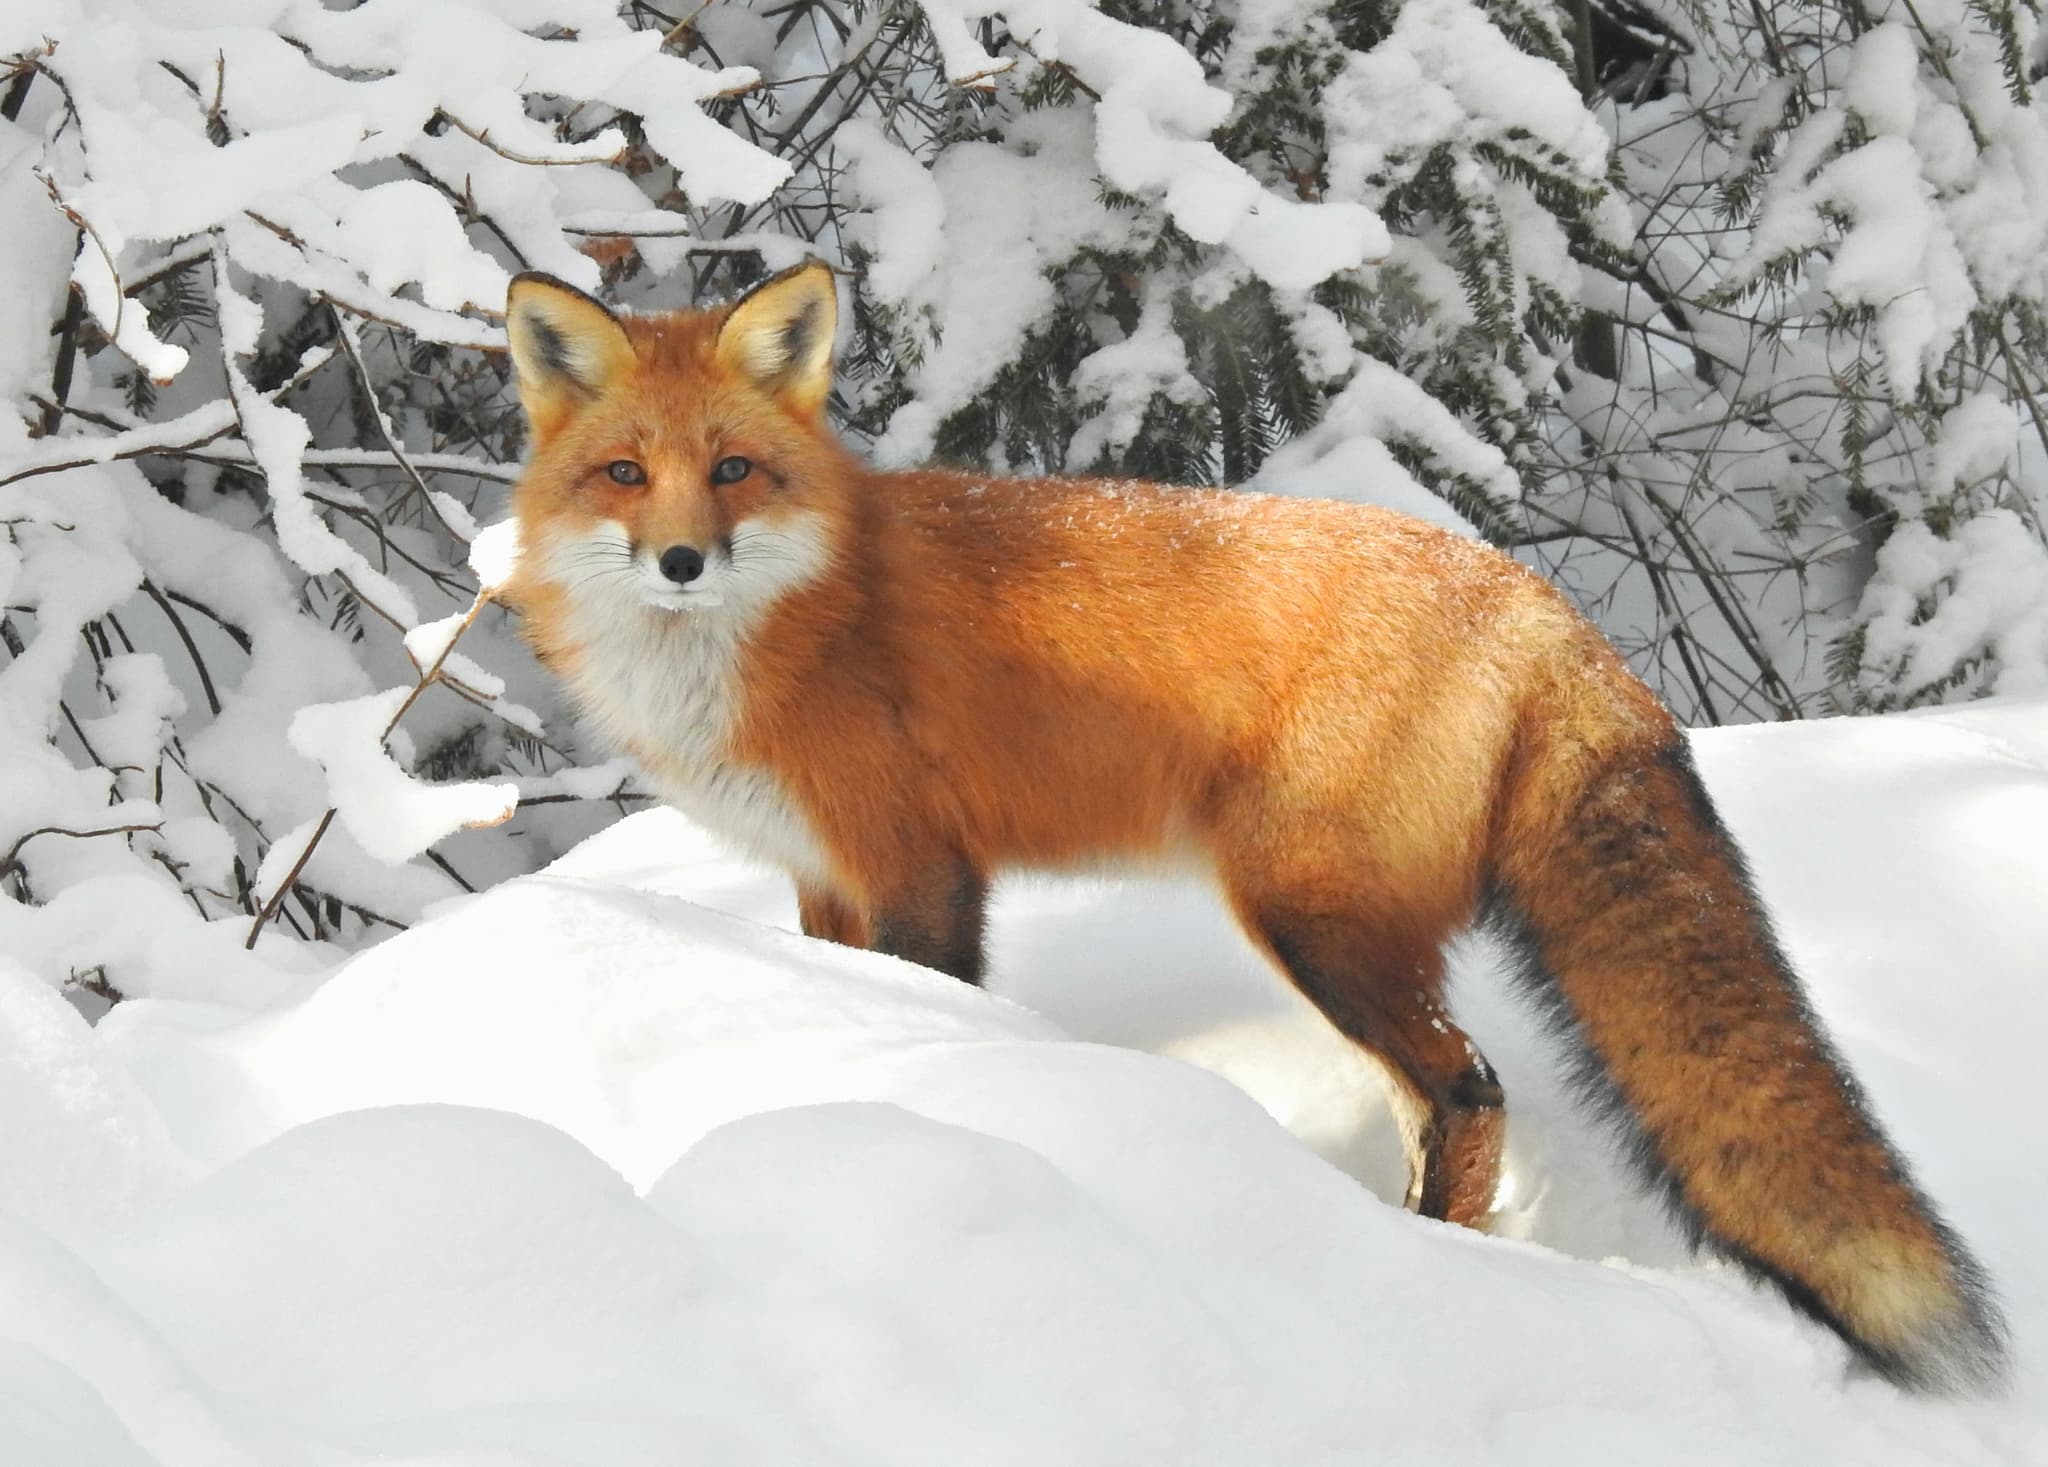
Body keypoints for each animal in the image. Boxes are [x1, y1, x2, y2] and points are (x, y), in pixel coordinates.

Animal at [499, 260, 2007, 1394]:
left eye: (732, 470)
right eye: (625, 473)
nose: (679, 560)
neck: (779, 626)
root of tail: (1541, 605)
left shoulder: (922, 866)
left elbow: (933, 1013)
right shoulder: (824, 879)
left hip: (1309, 916)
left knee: (1469, 1089)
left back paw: (1427, 1274)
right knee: (1440, 1099)